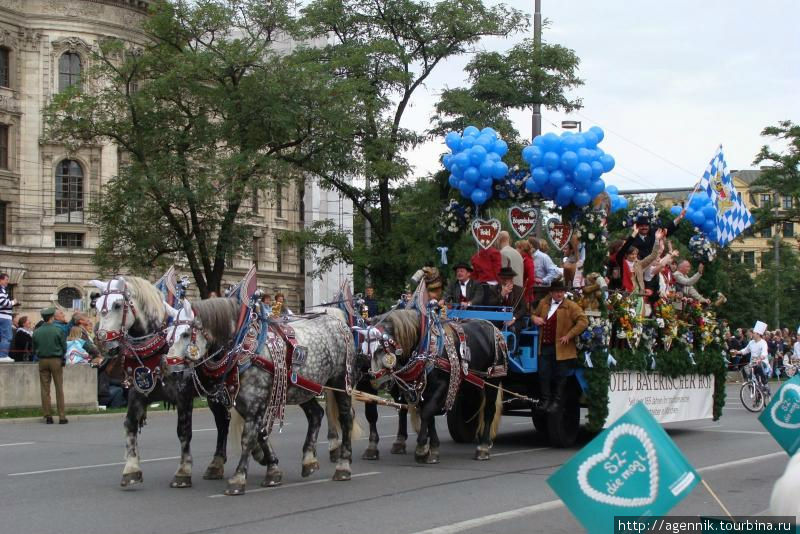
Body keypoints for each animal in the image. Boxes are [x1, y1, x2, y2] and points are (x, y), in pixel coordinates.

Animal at [166, 300, 360, 496]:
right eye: (167, 336)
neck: (243, 348)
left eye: (185, 334)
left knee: (346, 418)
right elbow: (260, 433)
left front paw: (238, 478)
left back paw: (343, 466)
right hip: (302, 388)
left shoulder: (255, 403)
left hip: (341, 382)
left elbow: (248, 439)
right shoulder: (246, 403)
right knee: (316, 414)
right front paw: (272, 470)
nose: (169, 367)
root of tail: (339, 322)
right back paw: (308, 460)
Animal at [364, 310, 504, 464]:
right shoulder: (421, 390)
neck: (425, 350)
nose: (376, 381)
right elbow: (428, 415)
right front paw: (433, 448)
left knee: (489, 410)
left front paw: (421, 448)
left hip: (493, 380)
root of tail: (493, 327)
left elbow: (427, 413)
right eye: (366, 351)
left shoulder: (443, 387)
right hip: (473, 385)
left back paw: (483, 447)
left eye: (380, 349)